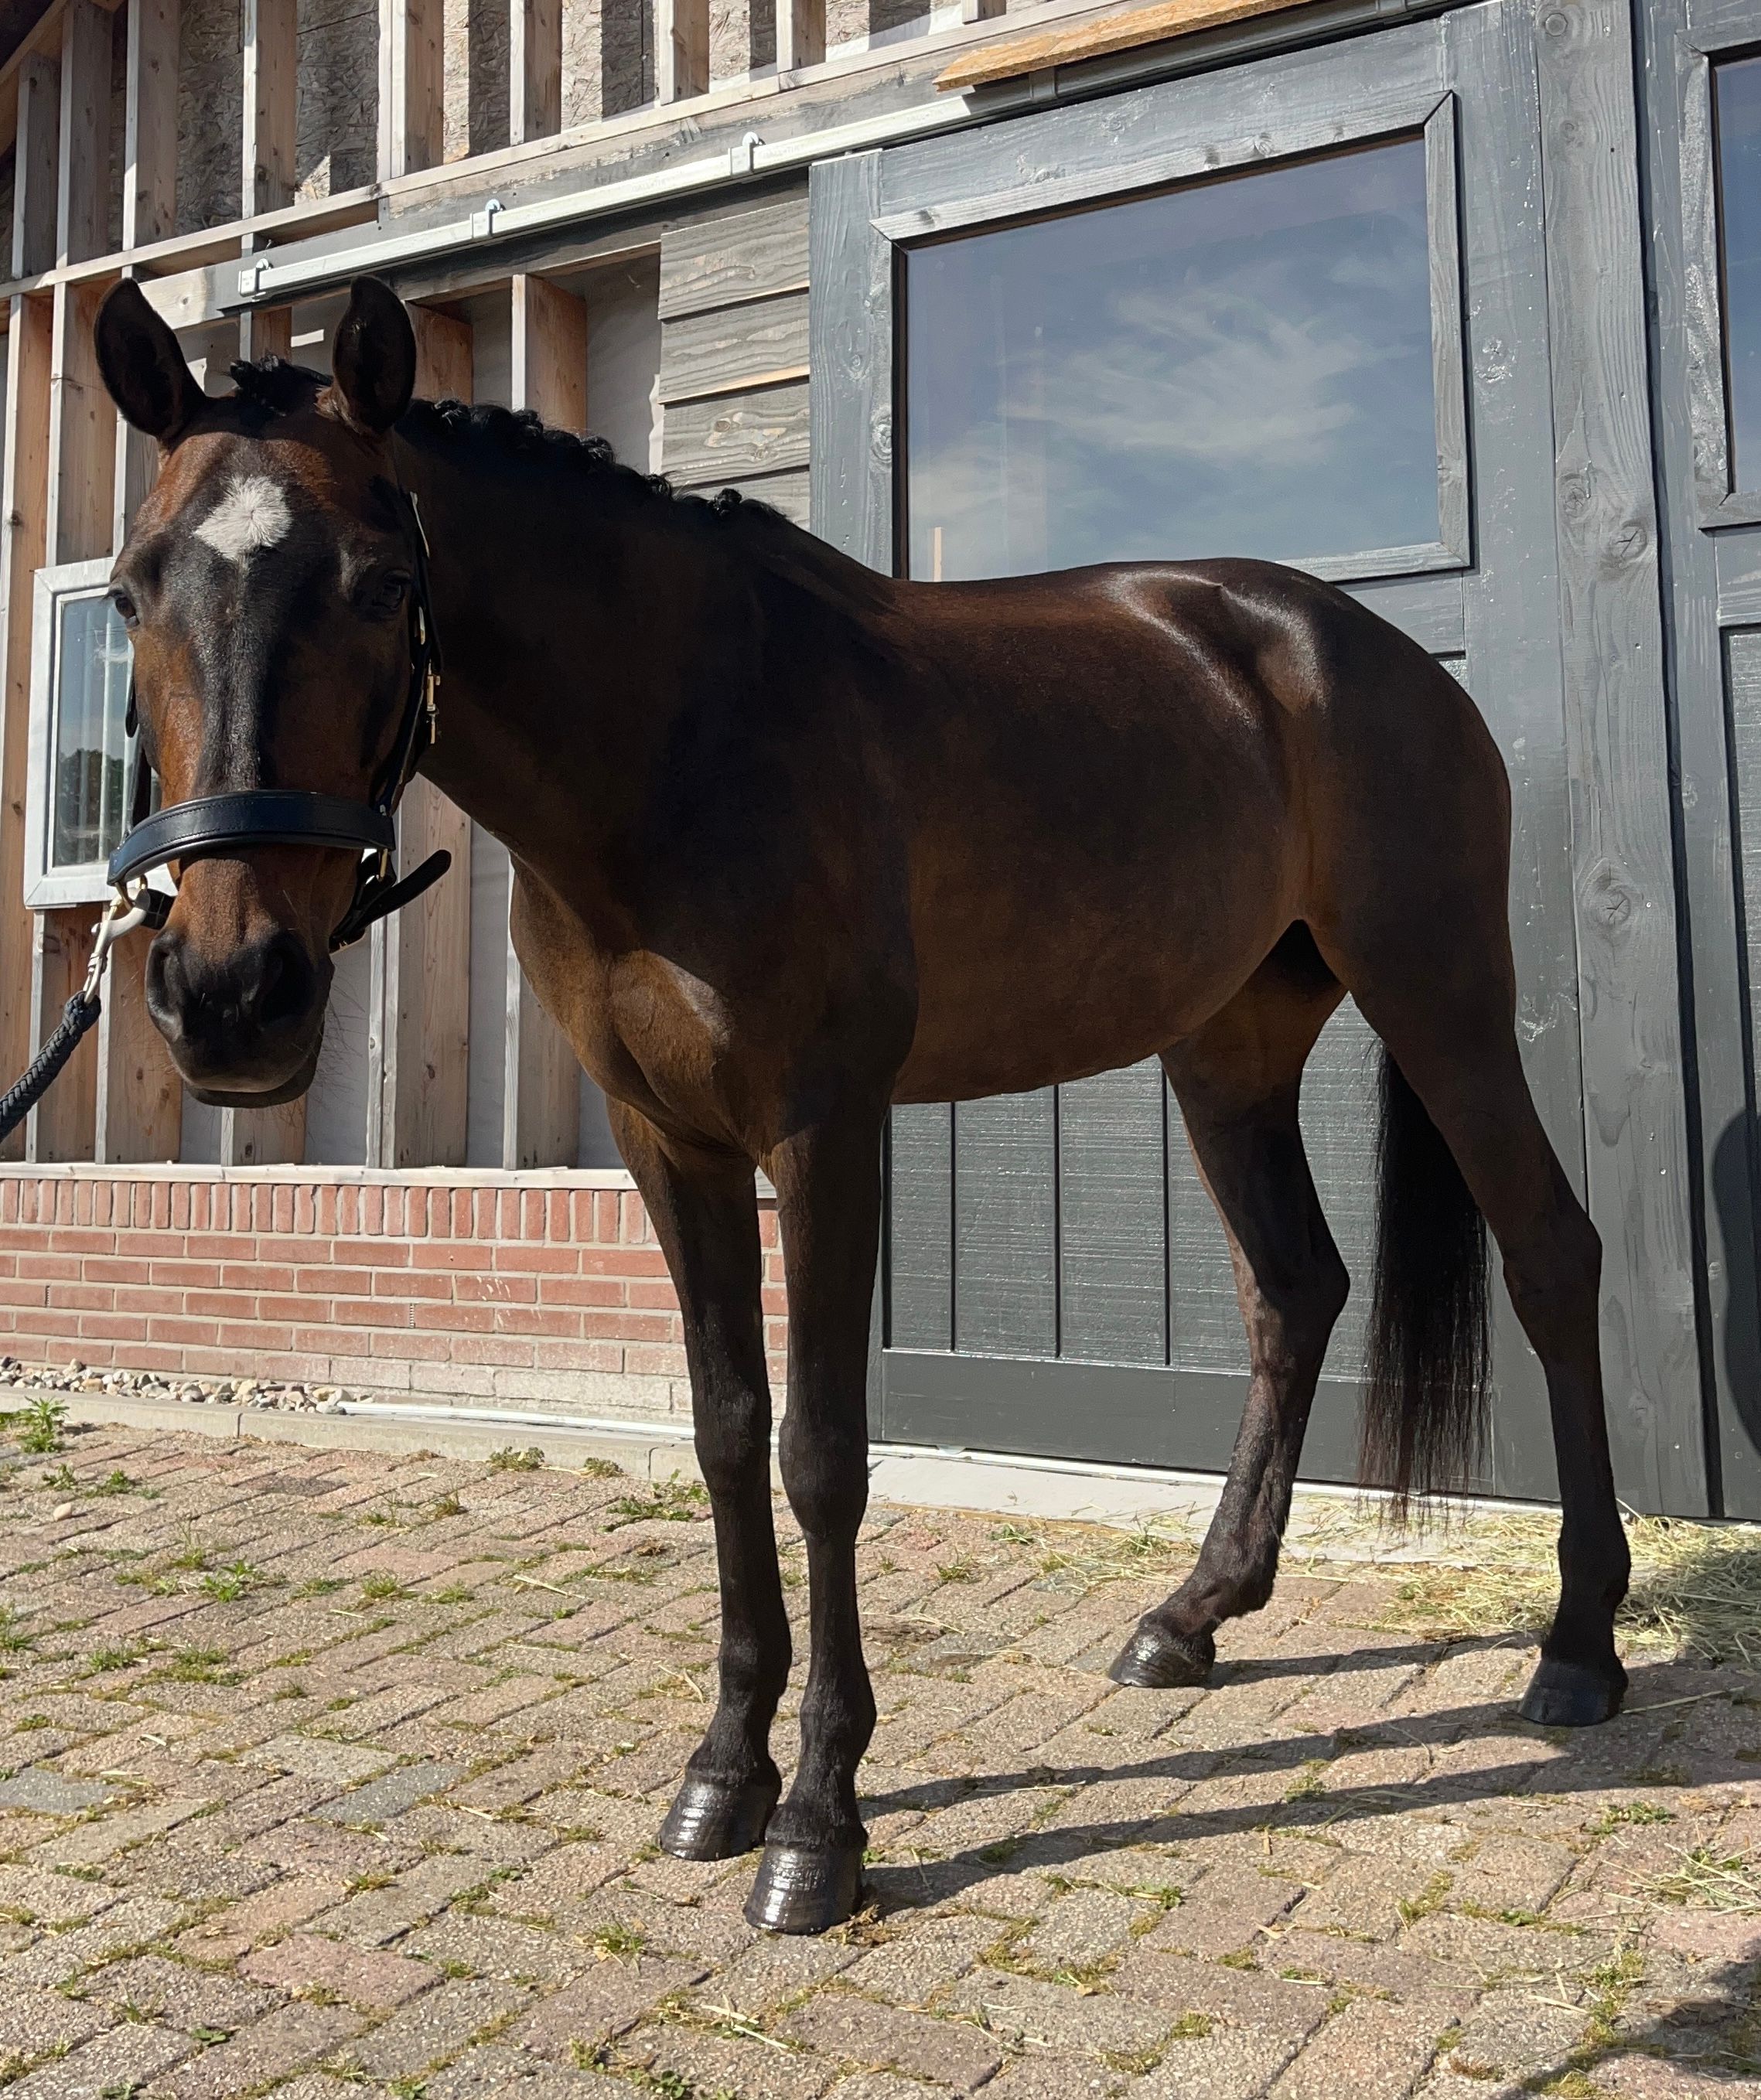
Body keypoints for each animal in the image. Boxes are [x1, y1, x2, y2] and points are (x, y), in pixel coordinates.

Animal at [91, 273, 1631, 1935]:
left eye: (381, 584)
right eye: (126, 593)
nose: (232, 992)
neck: (678, 742)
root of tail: (1355, 647)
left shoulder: (823, 1131)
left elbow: (822, 1452)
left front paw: (819, 1822)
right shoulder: (667, 1144)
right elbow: (723, 1430)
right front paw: (721, 1771)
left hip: (1439, 994)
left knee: (1553, 1255)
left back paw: (1578, 1645)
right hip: (1226, 1047)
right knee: (1294, 1291)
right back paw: (1191, 1617)